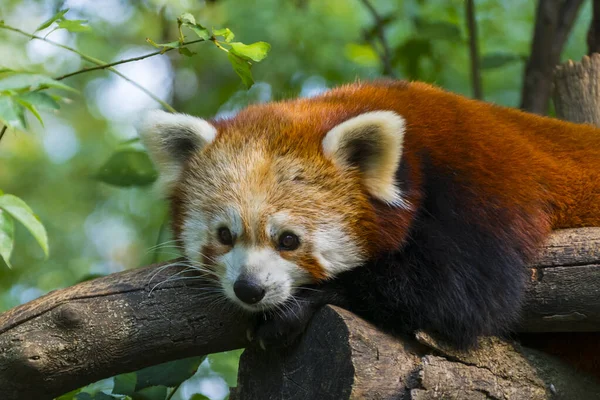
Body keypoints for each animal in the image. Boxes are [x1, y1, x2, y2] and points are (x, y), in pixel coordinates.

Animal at [136, 78, 600, 356]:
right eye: (225, 235)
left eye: (288, 240)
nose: (249, 289)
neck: (419, 147)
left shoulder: (481, 187)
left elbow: (466, 296)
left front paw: (299, 307)